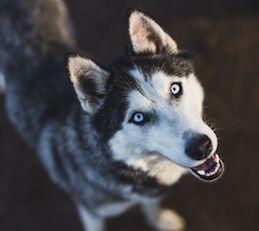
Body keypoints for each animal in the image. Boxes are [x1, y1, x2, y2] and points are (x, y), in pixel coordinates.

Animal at [0, 0, 224, 231]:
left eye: (175, 89)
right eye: (138, 117)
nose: (201, 146)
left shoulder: (150, 195)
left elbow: (152, 207)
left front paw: (160, 221)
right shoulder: (90, 211)